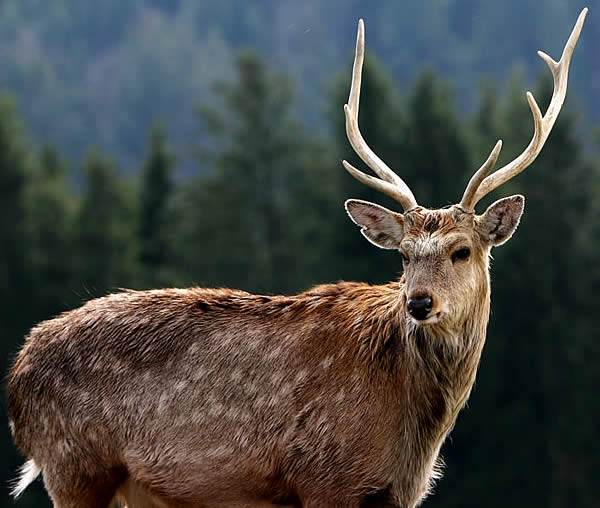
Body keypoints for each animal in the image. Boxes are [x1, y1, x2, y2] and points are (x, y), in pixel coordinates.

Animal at [5, 8, 584, 508]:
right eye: (403, 256)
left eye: (462, 250)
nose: (418, 302)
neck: (414, 430)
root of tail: (18, 375)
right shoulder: (326, 476)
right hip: (77, 465)